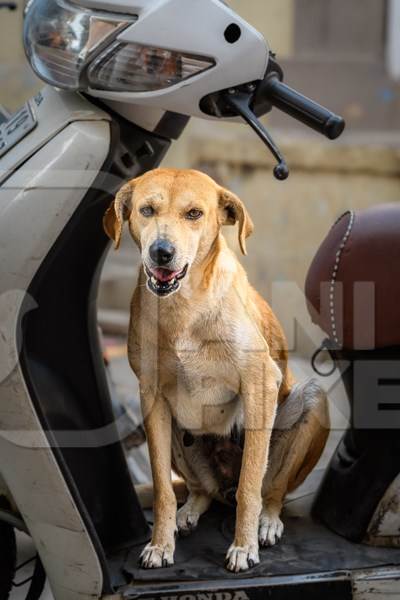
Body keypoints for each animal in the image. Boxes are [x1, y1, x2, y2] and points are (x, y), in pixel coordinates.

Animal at [103, 168, 328, 572]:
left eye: (194, 214)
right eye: (146, 210)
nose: (162, 252)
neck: (185, 306)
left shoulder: (260, 384)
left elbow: (250, 486)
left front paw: (243, 546)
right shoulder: (152, 398)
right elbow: (162, 488)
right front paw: (160, 545)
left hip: (312, 403)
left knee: (270, 491)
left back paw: (267, 521)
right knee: (199, 490)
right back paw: (189, 511)